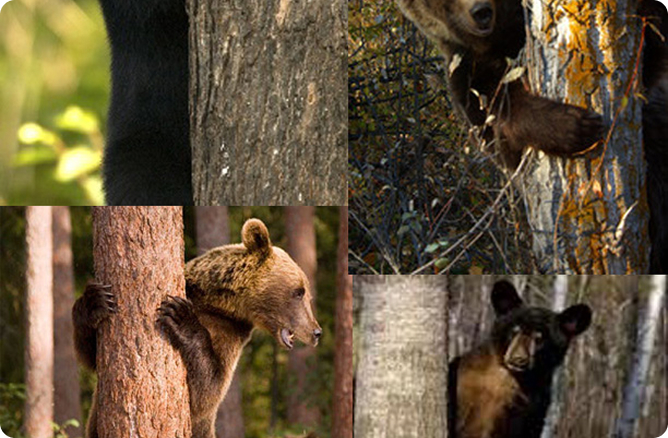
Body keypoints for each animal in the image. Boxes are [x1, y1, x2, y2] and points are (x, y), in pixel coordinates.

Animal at [72, 218, 322, 438]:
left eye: (305, 293)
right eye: (299, 292)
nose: (316, 332)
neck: (218, 302)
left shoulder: (229, 332)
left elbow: (207, 393)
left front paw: (180, 315)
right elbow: (92, 356)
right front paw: (95, 300)